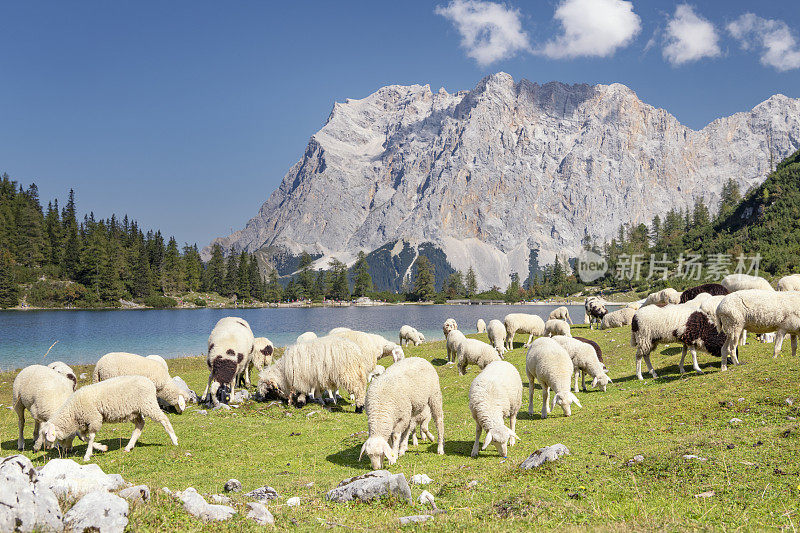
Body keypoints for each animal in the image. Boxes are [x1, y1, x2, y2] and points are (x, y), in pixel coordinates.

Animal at [40, 374, 178, 462]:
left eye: (46, 434)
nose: (47, 447)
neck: (73, 413)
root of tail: (149, 382)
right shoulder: (85, 423)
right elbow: (84, 437)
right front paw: (101, 447)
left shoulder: (94, 418)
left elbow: (90, 437)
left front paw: (87, 455)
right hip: (134, 411)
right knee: (140, 425)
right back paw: (129, 447)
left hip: (148, 405)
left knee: (164, 419)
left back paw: (174, 440)